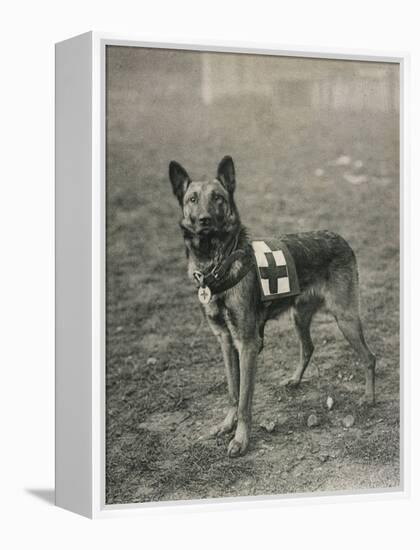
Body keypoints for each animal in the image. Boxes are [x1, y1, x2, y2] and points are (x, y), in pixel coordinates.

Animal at [169, 157, 376, 460]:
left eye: (218, 198)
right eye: (192, 199)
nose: (204, 220)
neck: (217, 263)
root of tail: (339, 238)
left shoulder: (247, 344)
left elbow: (245, 400)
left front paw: (241, 439)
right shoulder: (226, 342)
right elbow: (232, 391)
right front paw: (227, 424)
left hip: (345, 317)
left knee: (369, 358)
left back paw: (369, 398)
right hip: (299, 315)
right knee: (308, 347)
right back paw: (296, 380)